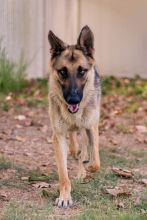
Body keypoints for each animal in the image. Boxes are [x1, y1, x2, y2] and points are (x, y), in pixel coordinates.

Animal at [48, 25, 101, 208]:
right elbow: (63, 173)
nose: (72, 99)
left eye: (82, 71)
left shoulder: (91, 127)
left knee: (85, 147)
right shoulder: (58, 136)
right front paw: (65, 196)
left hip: (87, 129)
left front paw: (87, 168)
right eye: (62, 72)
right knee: (73, 139)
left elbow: (96, 162)